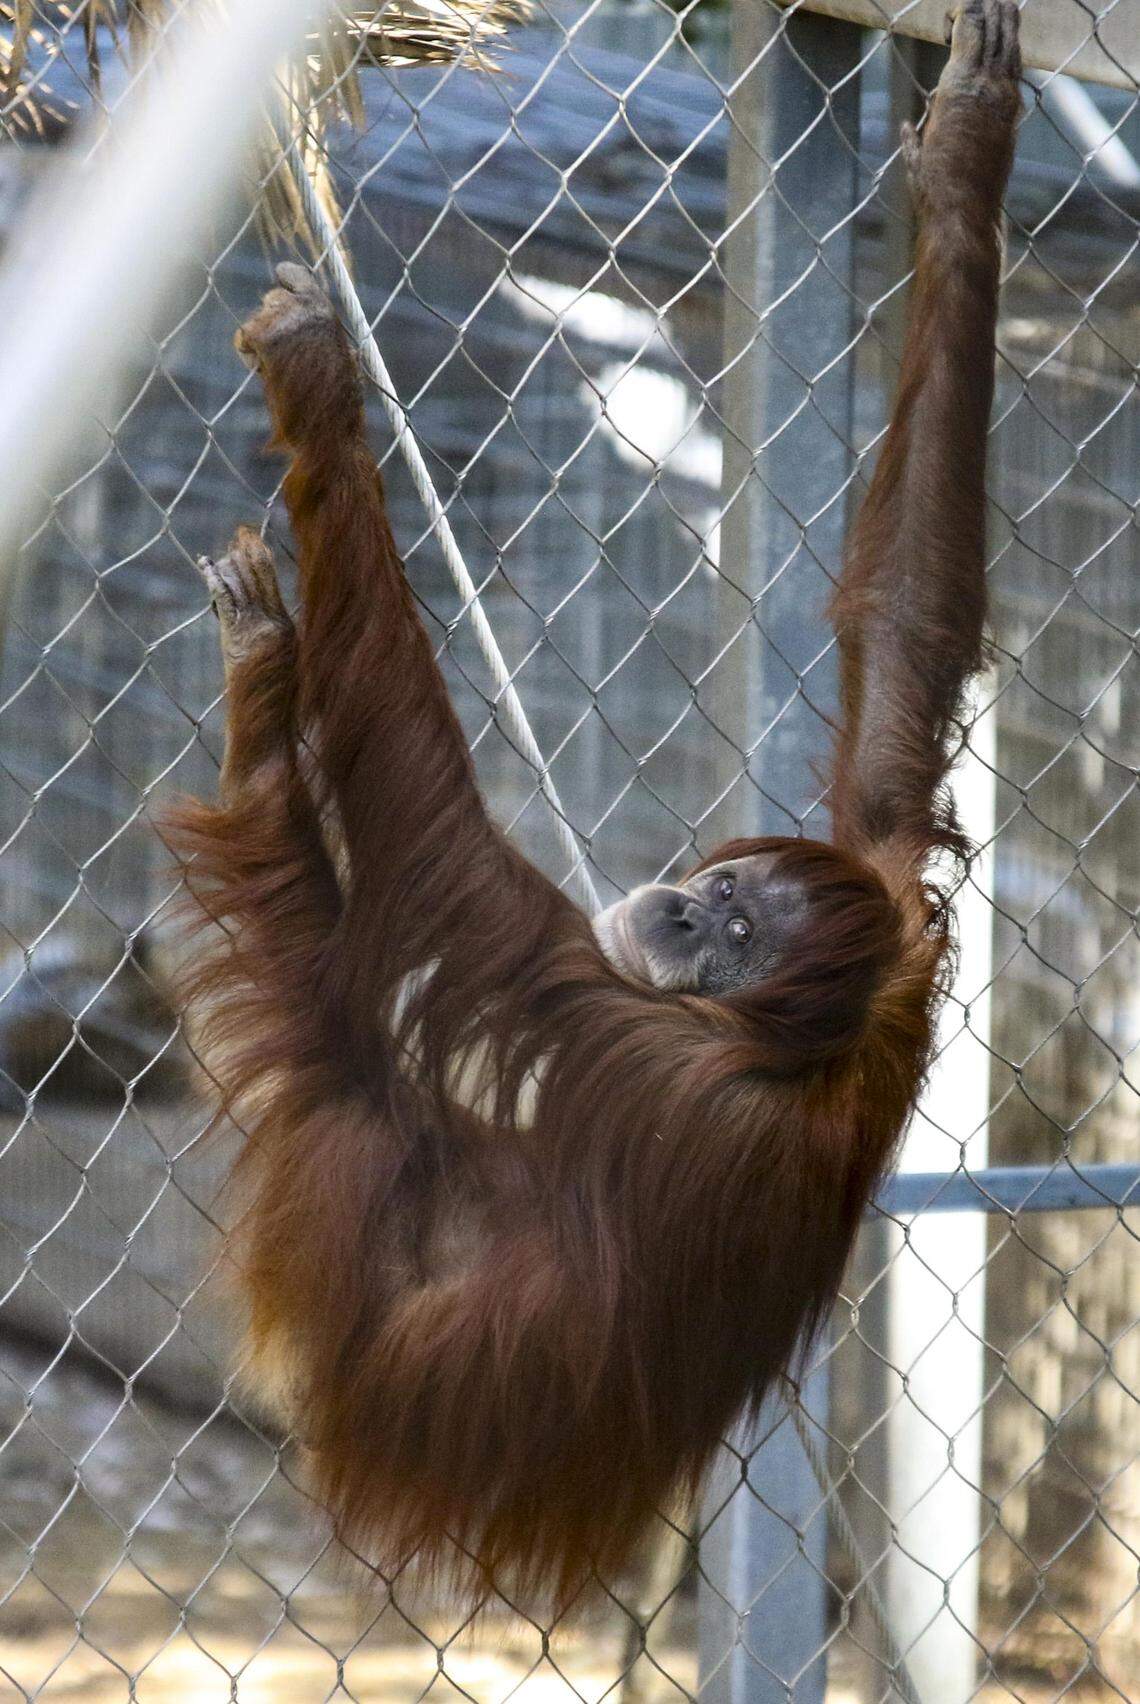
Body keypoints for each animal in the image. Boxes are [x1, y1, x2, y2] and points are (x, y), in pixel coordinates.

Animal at [165, 0, 1022, 1608]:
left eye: (734, 935)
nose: (679, 906)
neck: (796, 1041)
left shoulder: (626, 1036)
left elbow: (447, 858)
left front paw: (320, 390)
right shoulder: (889, 912)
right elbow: (903, 656)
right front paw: (963, 157)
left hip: (349, 1288)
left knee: (346, 1056)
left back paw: (261, 722)